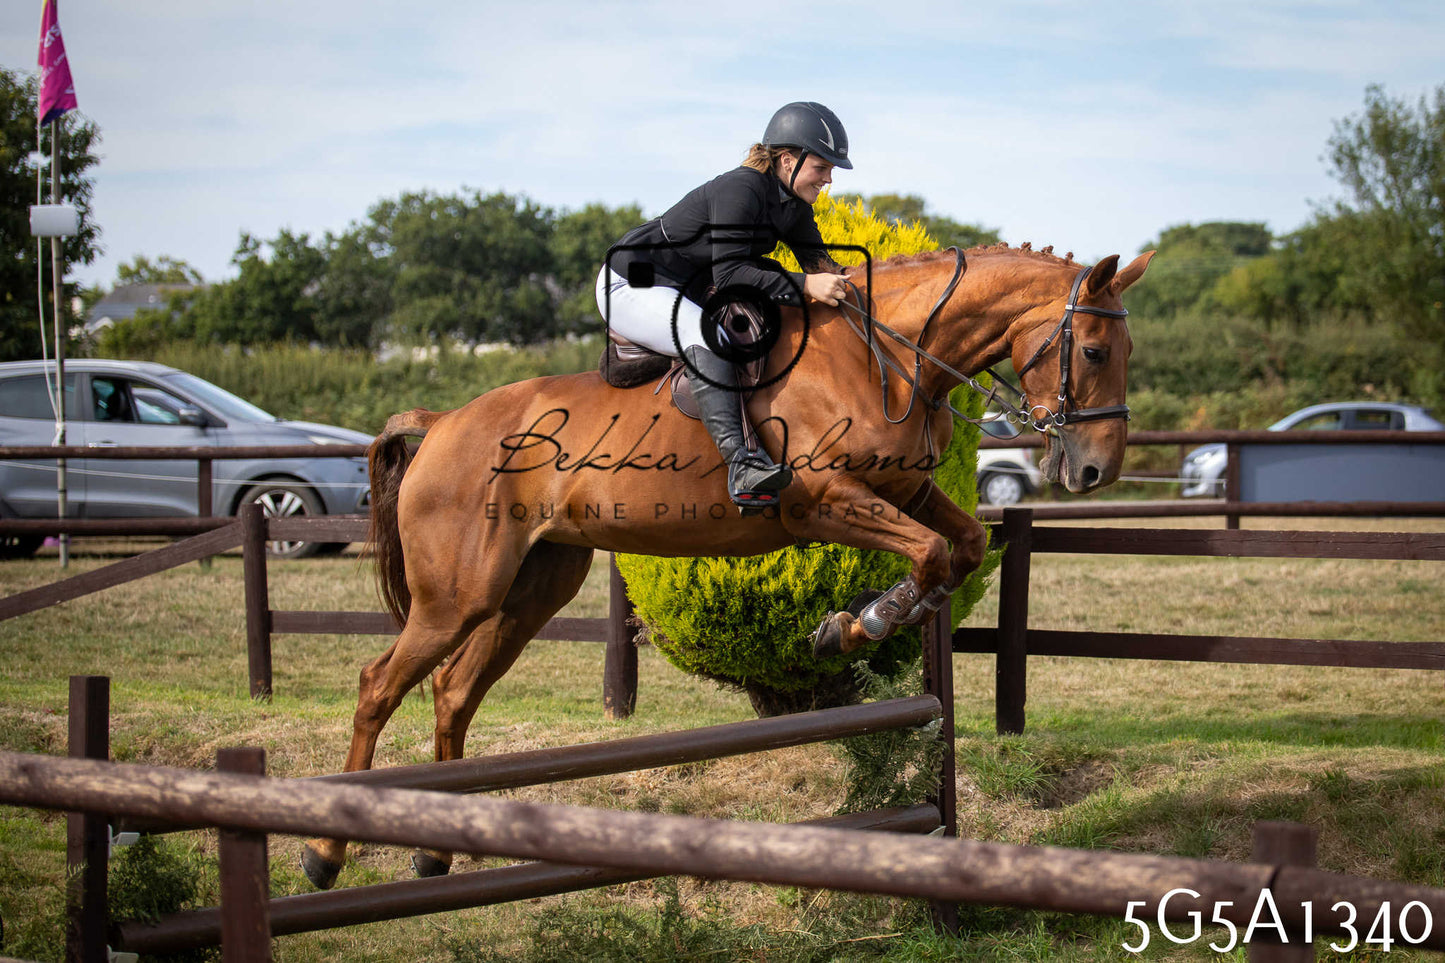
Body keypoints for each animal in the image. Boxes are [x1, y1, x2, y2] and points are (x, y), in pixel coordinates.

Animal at [300, 243, 1155, 888]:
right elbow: (932, 549)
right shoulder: (821, 499)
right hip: (457, 595)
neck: (883, 354)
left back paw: (436, 847)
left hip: (530, 589)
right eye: (1092, 350)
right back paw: (324, 852)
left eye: (1122, 350)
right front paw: (859, 624)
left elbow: (960, 547)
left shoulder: (903, 490)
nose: (1094, 471)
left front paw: (860, 619)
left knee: (453, 691)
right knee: (380, 685)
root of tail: (444, 420)